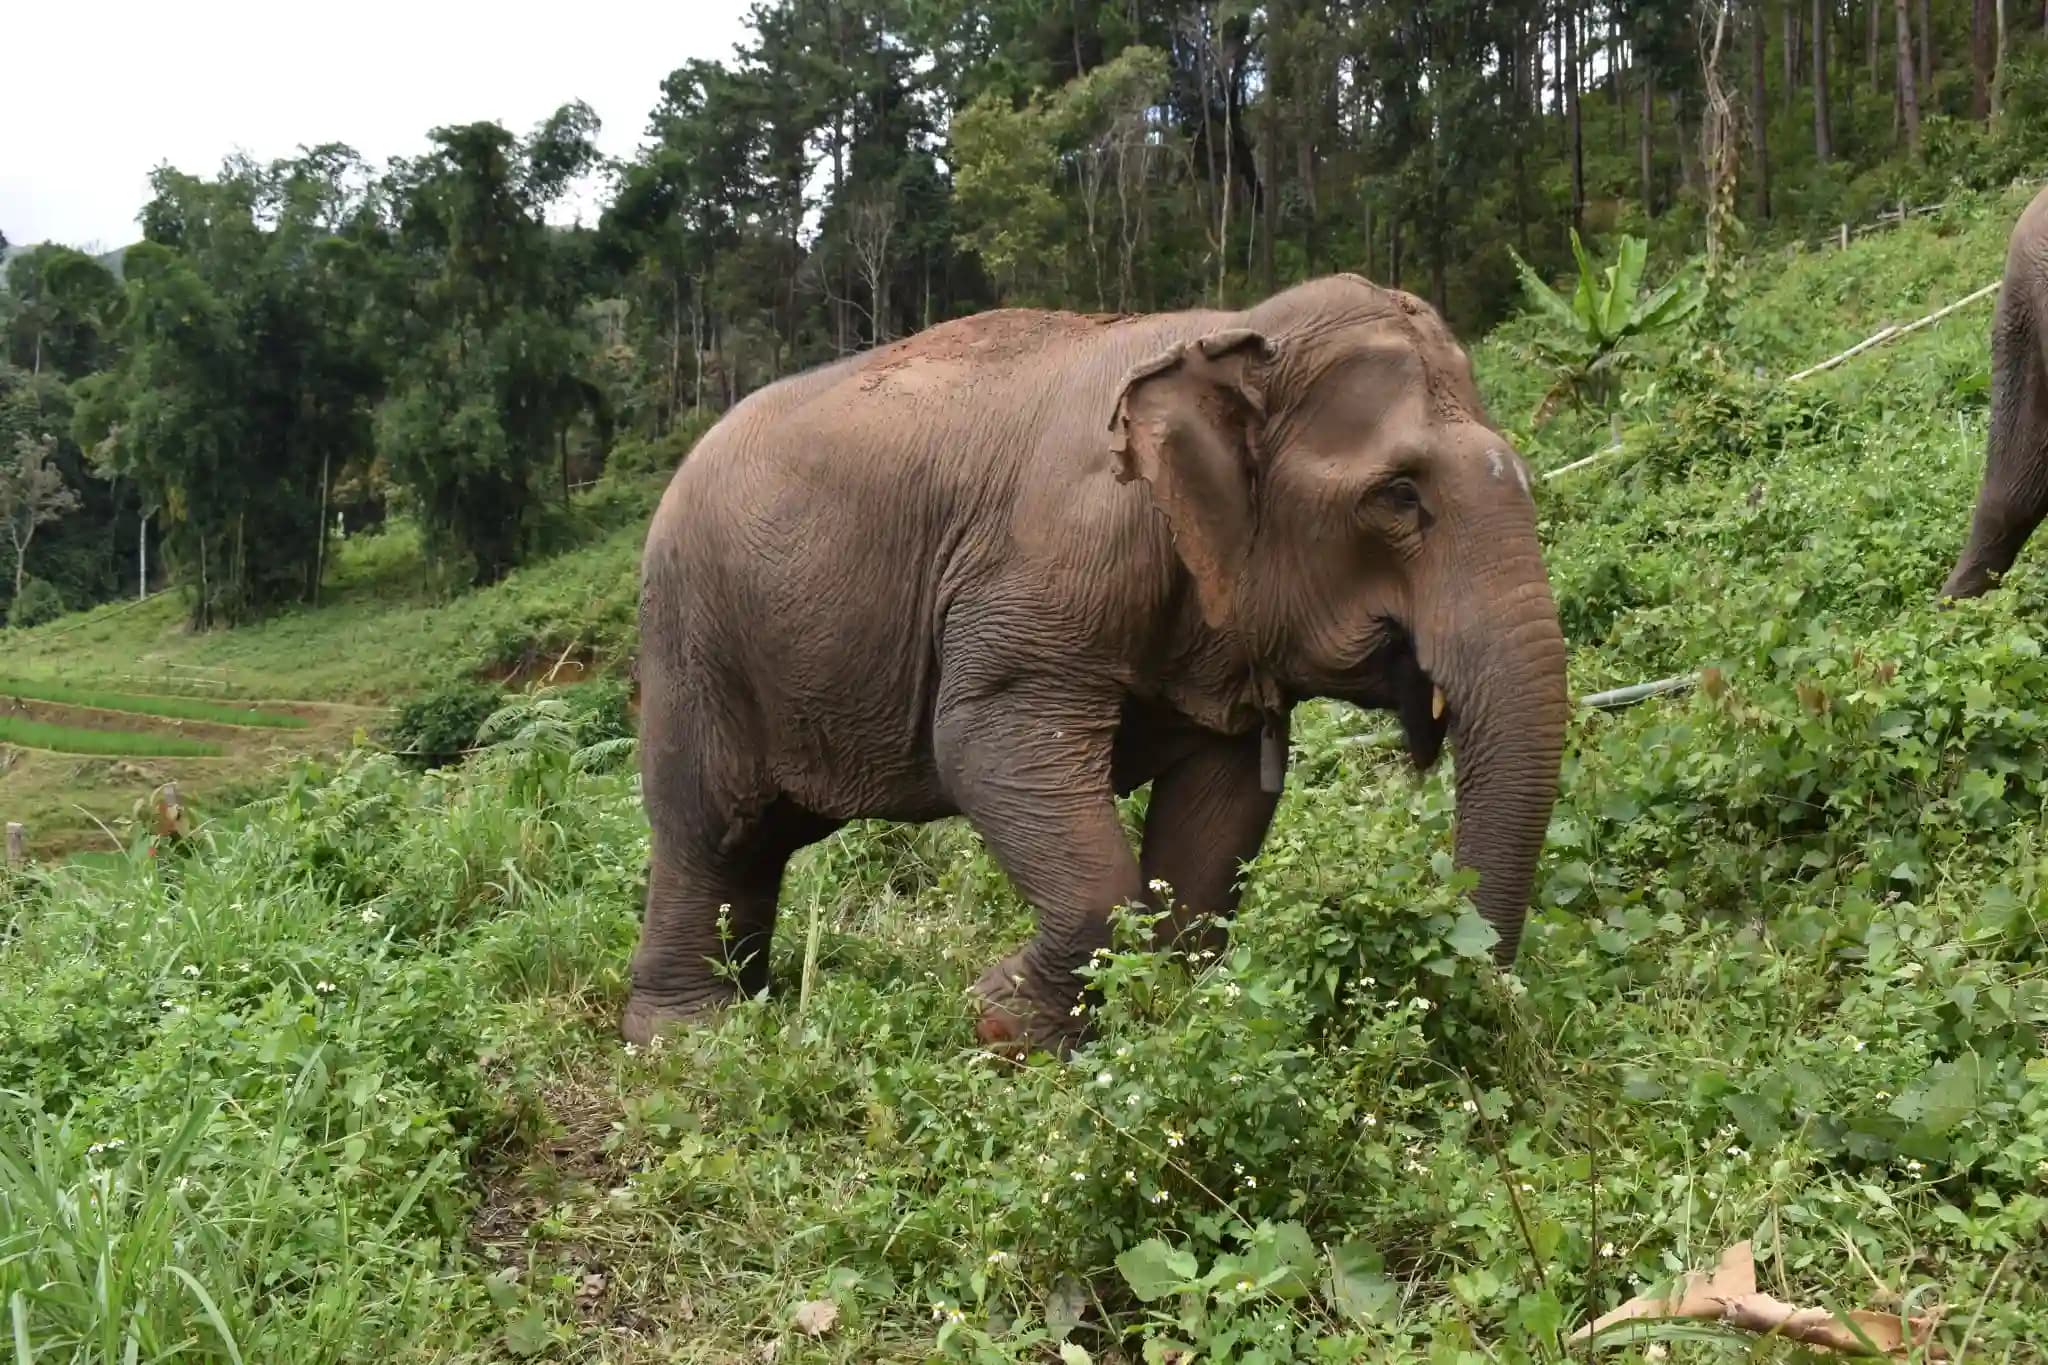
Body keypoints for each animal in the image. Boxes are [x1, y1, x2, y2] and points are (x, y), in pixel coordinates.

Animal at [621, 274, 1570, 1055]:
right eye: (1399, 497)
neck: (1232, 331)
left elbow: (1222, 806)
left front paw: (1161, 1012)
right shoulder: (1044, 573)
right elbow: (982, 743)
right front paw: (1002, 1021)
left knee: (760, 841)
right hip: (692, 642)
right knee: (710, 825)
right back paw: (691, 1039)